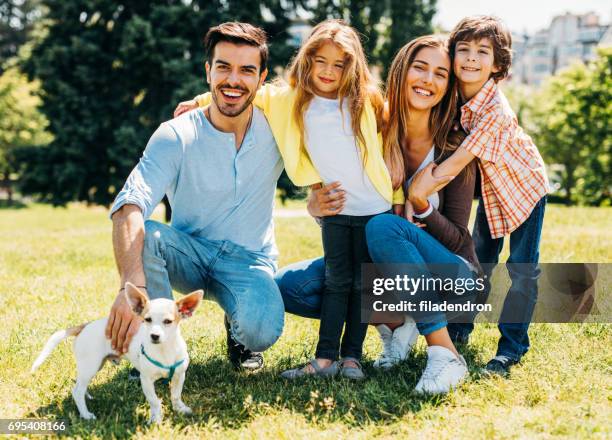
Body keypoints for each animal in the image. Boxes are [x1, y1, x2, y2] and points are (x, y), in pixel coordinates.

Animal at [31, 282, 203, 422]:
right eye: (147, 320)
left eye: (168, 321)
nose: (154, 336)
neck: (164, 350)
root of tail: (85, 326)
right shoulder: (146, 380)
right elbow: (154, 401)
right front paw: (155, 419)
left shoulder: (179, 375)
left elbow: (176, 395)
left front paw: (180, 409)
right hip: (90, 366)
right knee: (77, 391)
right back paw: (86, 414)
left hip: (93, 366)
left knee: (79, 385)